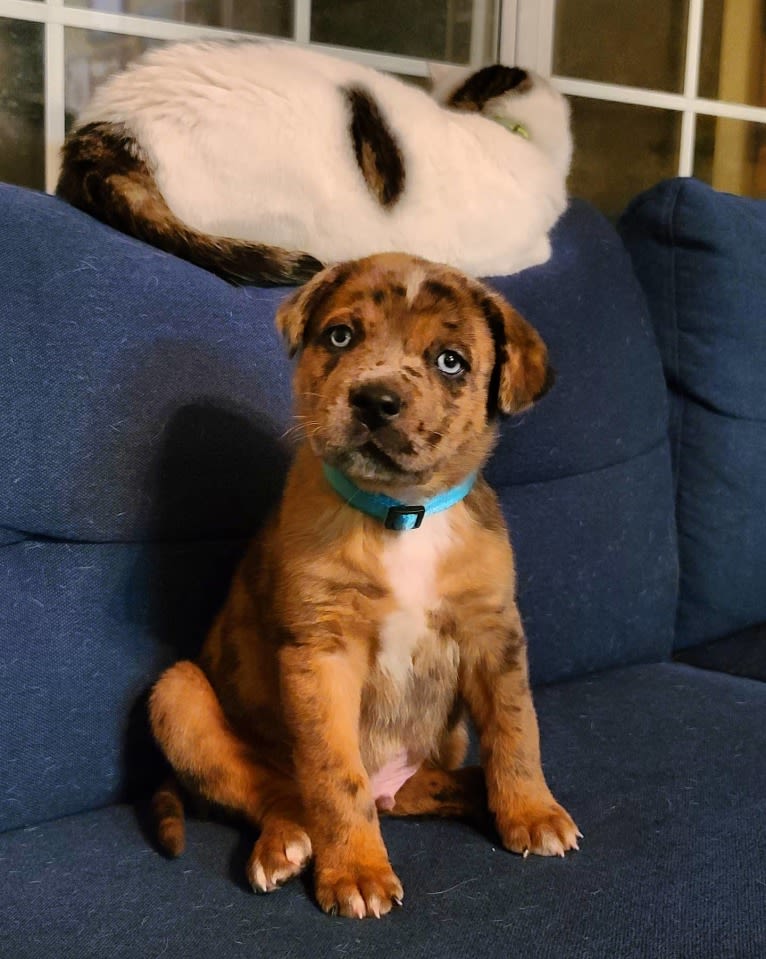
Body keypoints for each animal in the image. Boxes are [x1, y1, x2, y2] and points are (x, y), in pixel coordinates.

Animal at [148, 251, 584, 920]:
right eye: (340, 337)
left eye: (450, 361)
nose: (376, 400)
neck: (401, 514)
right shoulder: (321, 652)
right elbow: (334, 775)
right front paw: (355, 872)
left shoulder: (493, 632)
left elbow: (517, 730)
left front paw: (533, 814)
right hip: (179, 695)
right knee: (277, 794)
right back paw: (283, 847)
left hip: (443, 745)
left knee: (418, 791)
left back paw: (474, 794)